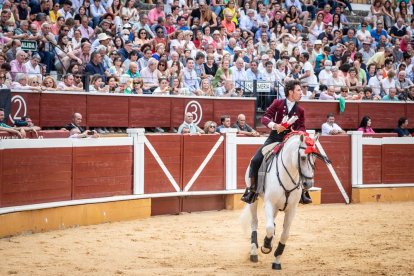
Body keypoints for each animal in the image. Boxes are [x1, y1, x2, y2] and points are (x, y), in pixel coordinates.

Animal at [241, 133, 326, 270]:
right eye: (303, 158)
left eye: (314, 158)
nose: (308, 183)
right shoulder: (269, 204)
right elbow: (269, 228)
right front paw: (265, 247)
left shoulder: (292, 209)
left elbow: (285, 234)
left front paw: (276, 261)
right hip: (253, 200)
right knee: (254, 222)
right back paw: (254, 252)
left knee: (272, 222)